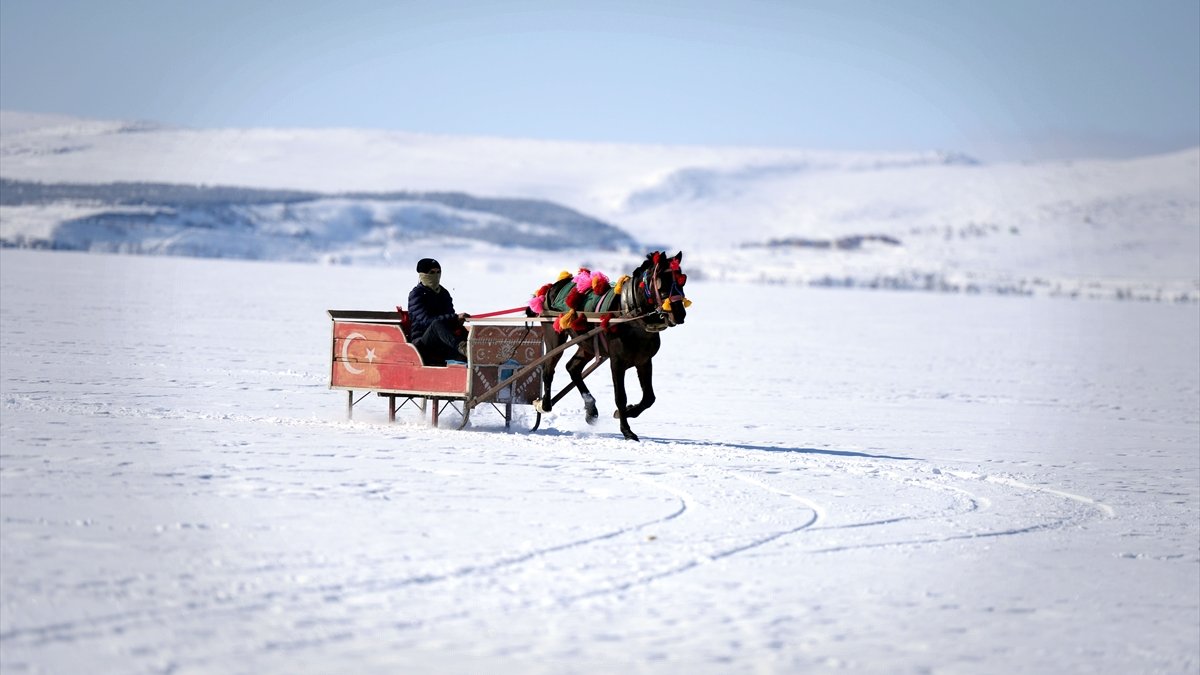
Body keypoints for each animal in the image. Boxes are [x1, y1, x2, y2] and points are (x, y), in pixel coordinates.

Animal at [530, 249, 691, 439]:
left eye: (682, 280)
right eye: (661, 282)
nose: (679, 314)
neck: (628, 315)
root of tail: (552, 287)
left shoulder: (644, 361)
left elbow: (649, 397)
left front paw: (628, 411)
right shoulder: (617, 362)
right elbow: (620, 396)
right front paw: (627, 430)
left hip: (587, 344)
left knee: (573, 367)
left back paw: (591, 409)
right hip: (555, 337)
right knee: (549, 368)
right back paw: (545, 404)